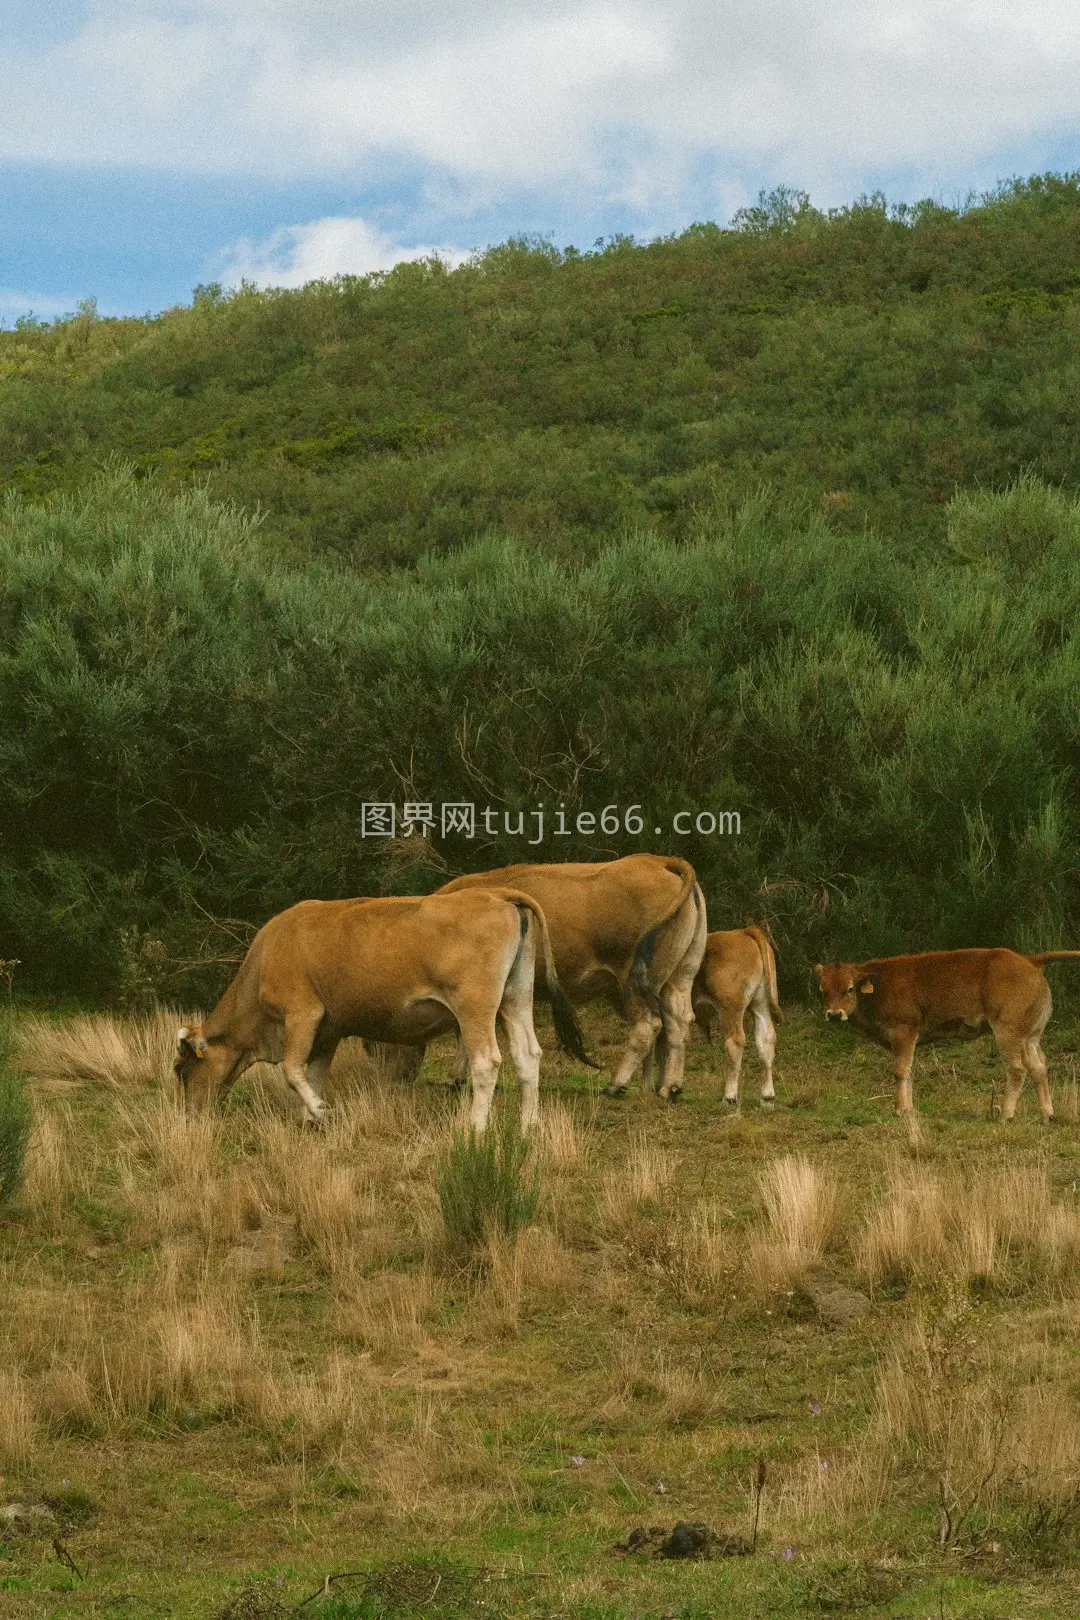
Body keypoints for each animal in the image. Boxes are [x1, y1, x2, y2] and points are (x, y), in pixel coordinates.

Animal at [175, 887, 592, 1127]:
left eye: (182, 1069)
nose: (191, 1117)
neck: (266, 957)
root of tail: (499, 896)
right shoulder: (328, 1032)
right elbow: (313, 1074)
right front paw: (311, 1118)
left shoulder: (302, 1015)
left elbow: (293, 1071)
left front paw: (320, 1111)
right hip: (515, 1000)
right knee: (527, 1056)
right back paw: (527, 1127)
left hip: (475, 1007)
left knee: (486, 1062)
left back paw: (474, 1128)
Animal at [440, 848, 709, 1101]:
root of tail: (658, 861)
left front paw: (456, 1078)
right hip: (678, 978)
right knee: (678, 1022)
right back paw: (668, 1087)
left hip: (635, 984)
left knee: (649, 1025)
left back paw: (616, 1085)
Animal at [693, 933, 786, 1108]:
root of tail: (743, 931)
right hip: (761, 1004)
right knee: (766, 1040)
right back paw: (767, 1096)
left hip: (730, 1009)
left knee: (735, 1042)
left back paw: (729, 1096)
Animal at [816, 946, 1080, 1121]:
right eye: (822, 990)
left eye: (850, 988)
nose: (834, 1014)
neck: (879, 984)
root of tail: (1029, 960)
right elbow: (909, 1071)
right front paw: (909, 1108)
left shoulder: (903, 1031)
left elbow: (900, 1071)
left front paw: (900, 1110)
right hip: (1031, 1036)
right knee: (1039, 1066)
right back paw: (1047, 1114)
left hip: (1008, 1032)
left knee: (1017, 1068)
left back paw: (1005, 1115)